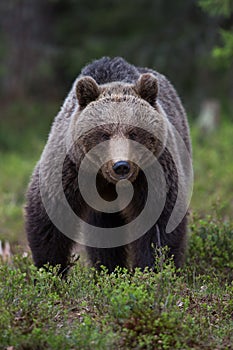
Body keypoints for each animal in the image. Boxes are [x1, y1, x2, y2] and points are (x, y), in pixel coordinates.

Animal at [25, 56, 193, 274]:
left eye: (133, 132)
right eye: (104, 133)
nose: (121, 165)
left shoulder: (156, 173)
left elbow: (159, 225)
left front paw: (152, 271)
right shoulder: (69, 169)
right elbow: (49, 220)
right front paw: (52, 270)